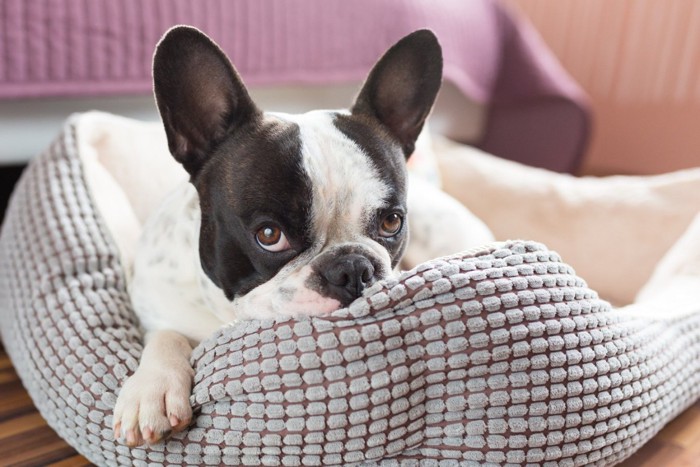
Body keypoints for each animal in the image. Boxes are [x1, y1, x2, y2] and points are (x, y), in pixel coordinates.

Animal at [112, 26, 446, 450]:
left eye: (391, 222)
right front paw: (152, 389)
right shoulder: (156, 305)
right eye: (269, 235)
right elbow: (165, 335)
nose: (353, 269)